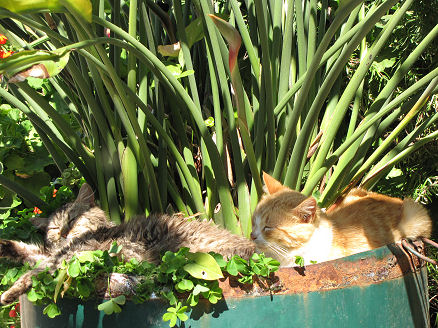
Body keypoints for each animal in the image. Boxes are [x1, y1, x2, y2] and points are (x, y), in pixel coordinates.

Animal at [0, 184, 255, 304]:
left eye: (73, 219)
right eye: (54, 229)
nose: (63, 232)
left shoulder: (73, 254)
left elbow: (33, 272)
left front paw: (8, 294)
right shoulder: (54, 253)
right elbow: (27, 251)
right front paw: (4, 245)